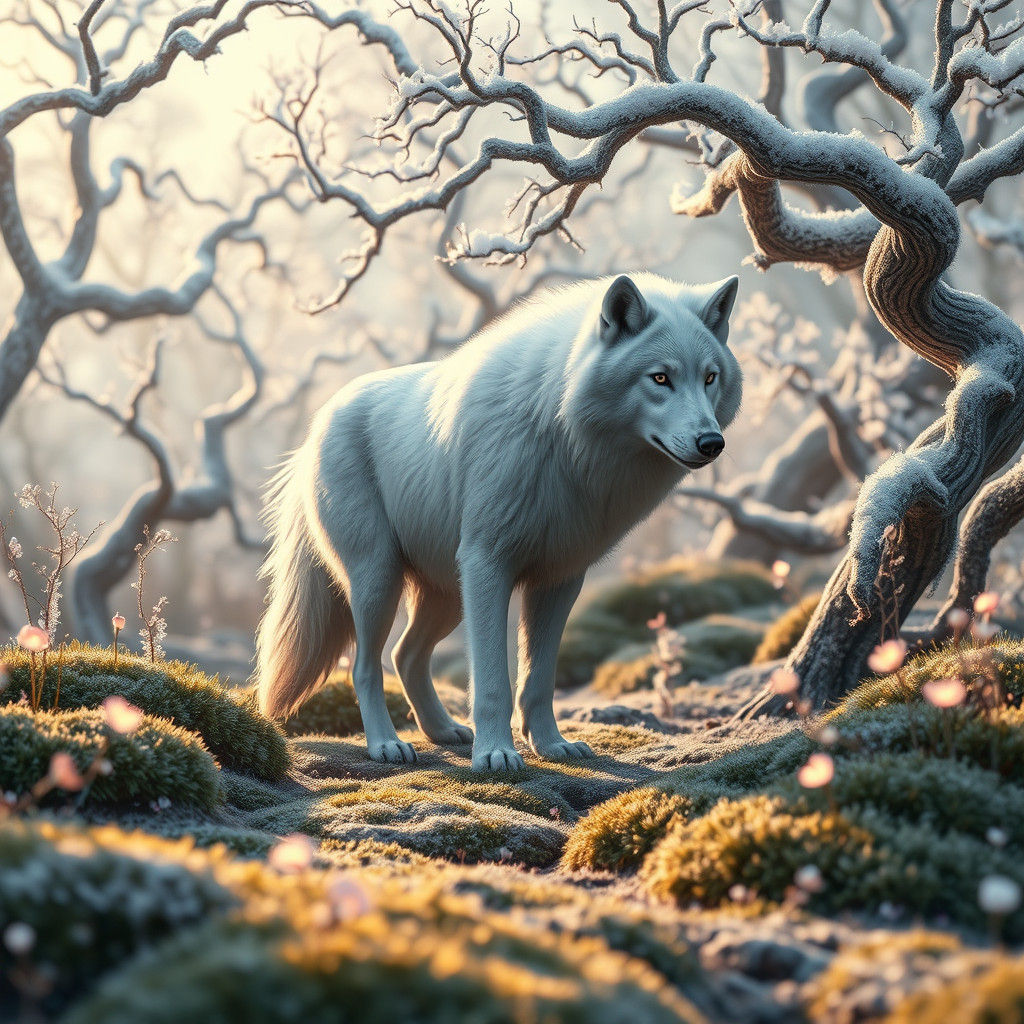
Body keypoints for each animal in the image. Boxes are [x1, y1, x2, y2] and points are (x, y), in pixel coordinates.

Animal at [255, 272, 741, 771]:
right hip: (379, 581)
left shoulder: (559, 580)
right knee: (366, 666)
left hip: (447, 594)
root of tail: (317, 424)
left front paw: (550, 745)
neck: (563, 435)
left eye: (709, 378)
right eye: (660, 378)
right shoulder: (487, 565)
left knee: (406, 654)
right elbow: (491, 680)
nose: (712, 442)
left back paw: (444, 730)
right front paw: (495, 753)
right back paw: (386, 744)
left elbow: (539, 679)